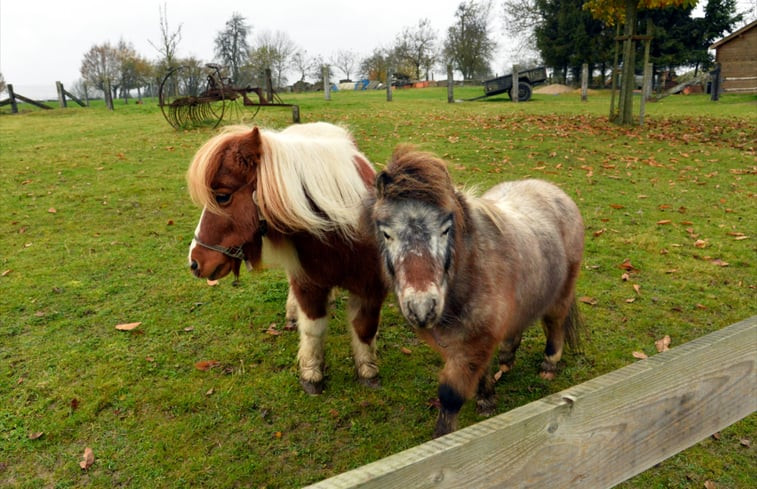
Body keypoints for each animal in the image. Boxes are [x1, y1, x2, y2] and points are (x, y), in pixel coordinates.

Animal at [187, 122, 386, 392]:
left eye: (222, 196)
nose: (195, 261)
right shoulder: (308, 285)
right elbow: (313, 329)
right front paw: (311, 374)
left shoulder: (371, 287)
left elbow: (365, 328)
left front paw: (368, 371)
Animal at [366, 144, 584, 434]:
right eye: (386, 233)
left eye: (446, 229)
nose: (422, 308)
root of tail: (553, 189)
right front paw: (486, 396)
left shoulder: (473, 342)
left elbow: (450, 395)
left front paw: (444, 437)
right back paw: (507, 357)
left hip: (562, 293)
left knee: (555, 322)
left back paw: (549, 363)